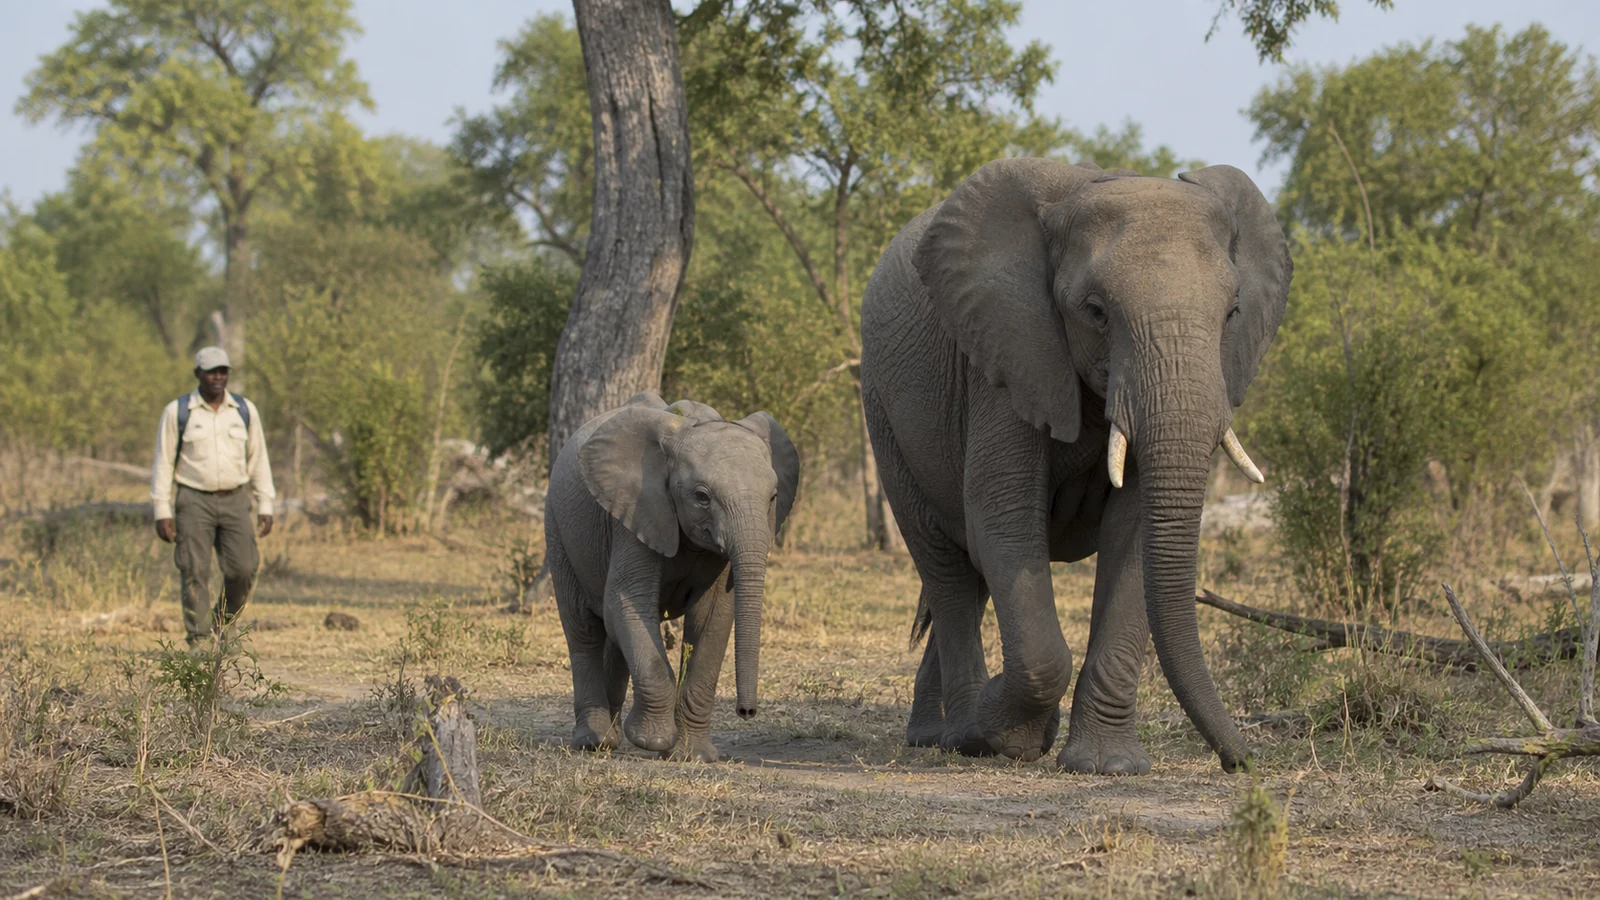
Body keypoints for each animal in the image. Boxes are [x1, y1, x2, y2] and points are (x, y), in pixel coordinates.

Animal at [544, 392, 799, 762]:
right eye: (702, 497)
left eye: (773, 497)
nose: (747, 712)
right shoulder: (636, 511)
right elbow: (628, 602)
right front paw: (653, 741)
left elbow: (712, 618)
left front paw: (694, 756)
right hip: (558, 528)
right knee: (584, 629)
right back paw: (595, 742)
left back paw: (612, 737)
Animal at [859, 158, 1290, 774]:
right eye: (1095, 312)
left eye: (1232, 313)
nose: (1244, 761)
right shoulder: (1007, 352)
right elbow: (1003, 517)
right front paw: (1017, 735)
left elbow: (1133, 536)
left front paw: (1107, 766)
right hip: (882, 411)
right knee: (946, 566)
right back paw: (964, 735)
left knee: (970, 573)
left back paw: (933, 734)